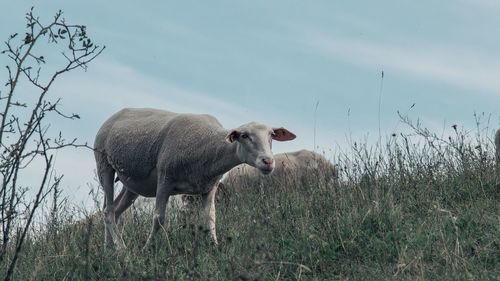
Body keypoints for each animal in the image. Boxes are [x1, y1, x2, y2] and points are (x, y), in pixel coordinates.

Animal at [94, 106, 294, 247]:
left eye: (271, 135)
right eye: (244, 135)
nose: (268, 161)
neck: (209, 147)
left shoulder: (209, 187)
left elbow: (210, 219)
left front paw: (215, 247)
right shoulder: (165, 179)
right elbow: (158, 218)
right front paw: (148, 249)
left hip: (132, 183)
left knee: (115, 210)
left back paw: (109, 249)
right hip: (104, 164)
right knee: (108, 211)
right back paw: (122, 250)